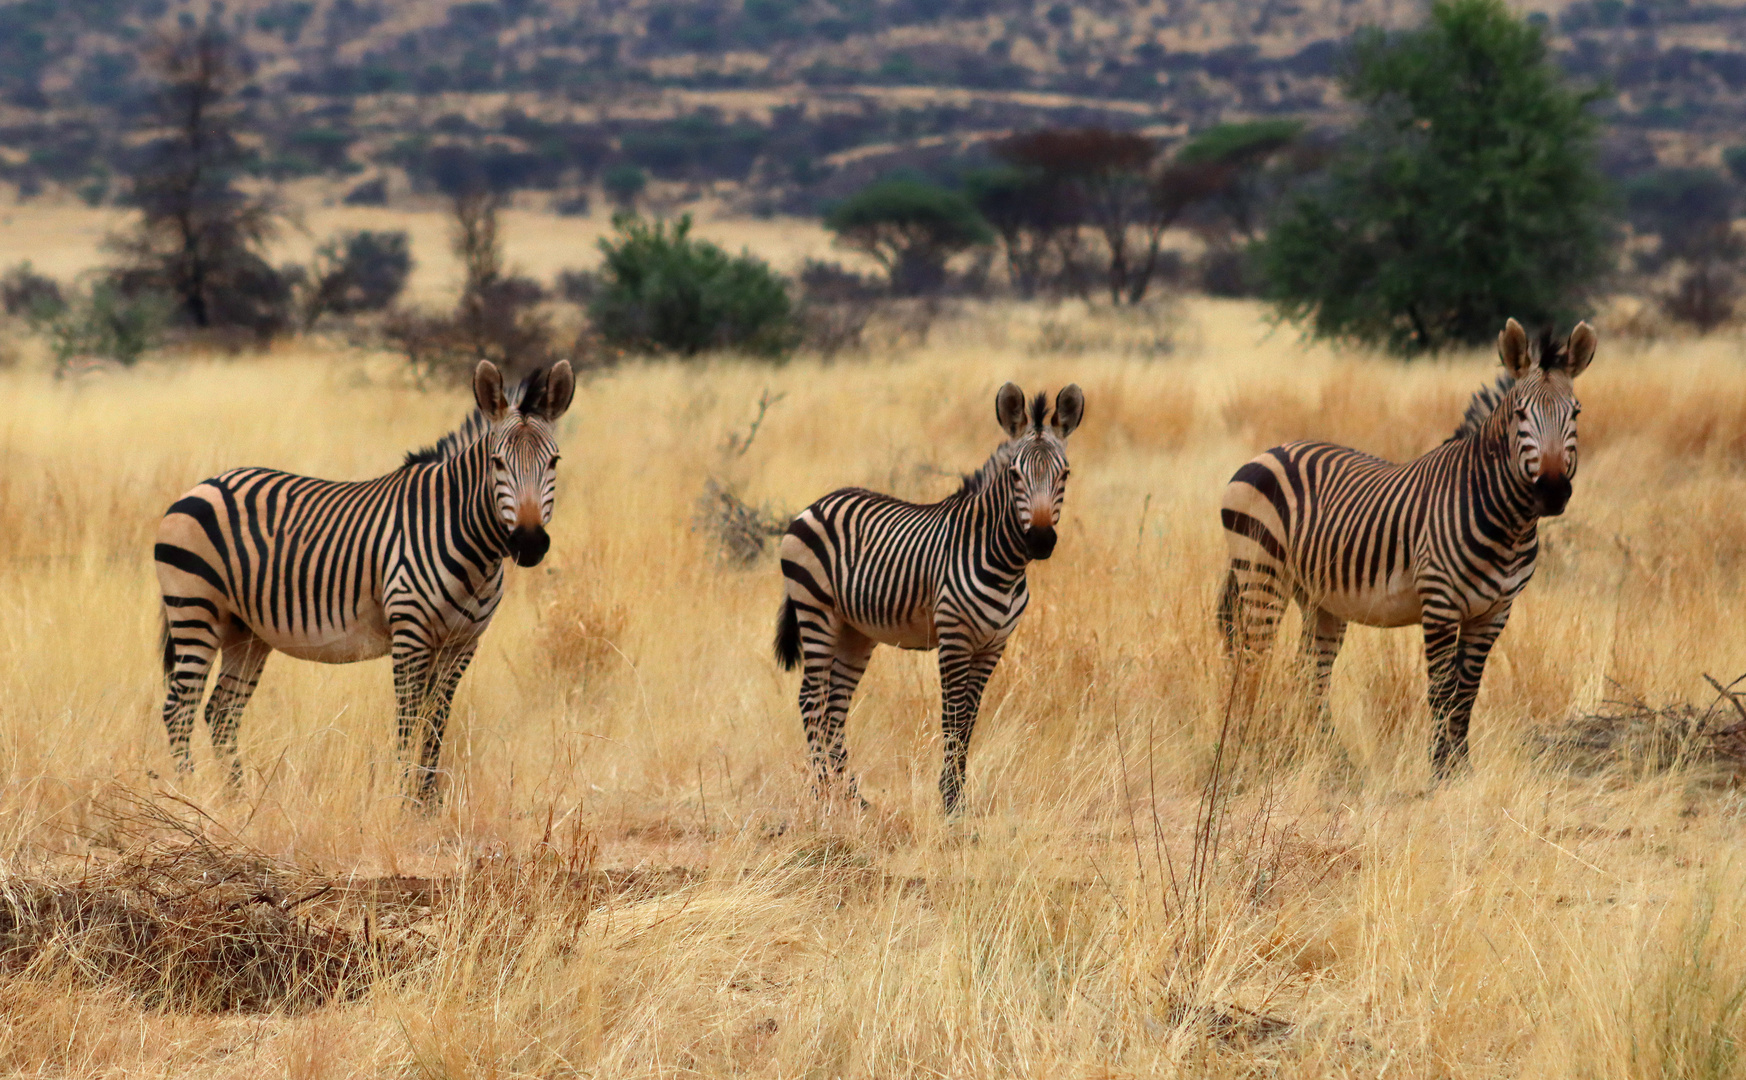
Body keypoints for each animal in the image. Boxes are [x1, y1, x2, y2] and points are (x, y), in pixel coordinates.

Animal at [151, 362, 572, 802]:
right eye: (497, 463)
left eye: (554, 462)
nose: (529, 542)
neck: (468, 542)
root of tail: (203, 485)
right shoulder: (410, 633)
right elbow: (409, 721)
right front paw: (404, 800)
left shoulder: (462, 643)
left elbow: (435, 723)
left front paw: (427, 802)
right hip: (195, 609)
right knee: (180, 706)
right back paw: (189, 794)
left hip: (244, 630)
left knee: (221, 711)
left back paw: (237, 798)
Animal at [775, 383, 1075, 816]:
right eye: (1015, 475)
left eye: (1064, 474)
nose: (1040, 540)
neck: (1003, 563)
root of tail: (817, 503)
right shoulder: (954, 638)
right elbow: (952, 718)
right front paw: (949, 803)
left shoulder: (993, 646)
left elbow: (968, 721)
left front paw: (958, 799)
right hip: (815, 611)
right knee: (810, 699)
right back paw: (821, 796)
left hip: (854, 631)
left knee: (835, 707)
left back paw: (852, 797)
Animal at [1222, 321, 1599, 778]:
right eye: (1520, 414)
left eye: (1575, 413)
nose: (1553, 491)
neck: (1508, 524)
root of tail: (1268, 451)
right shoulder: (1439, 603)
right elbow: (1441, 689)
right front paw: (1439, 772)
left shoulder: (1494, 612)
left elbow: (1466, 693)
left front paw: (1461, 770)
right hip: (1261, 575)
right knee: (1251, 662)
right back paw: (1244, 753)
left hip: (1318, 598)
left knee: (1310, 671)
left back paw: (1330, 760)